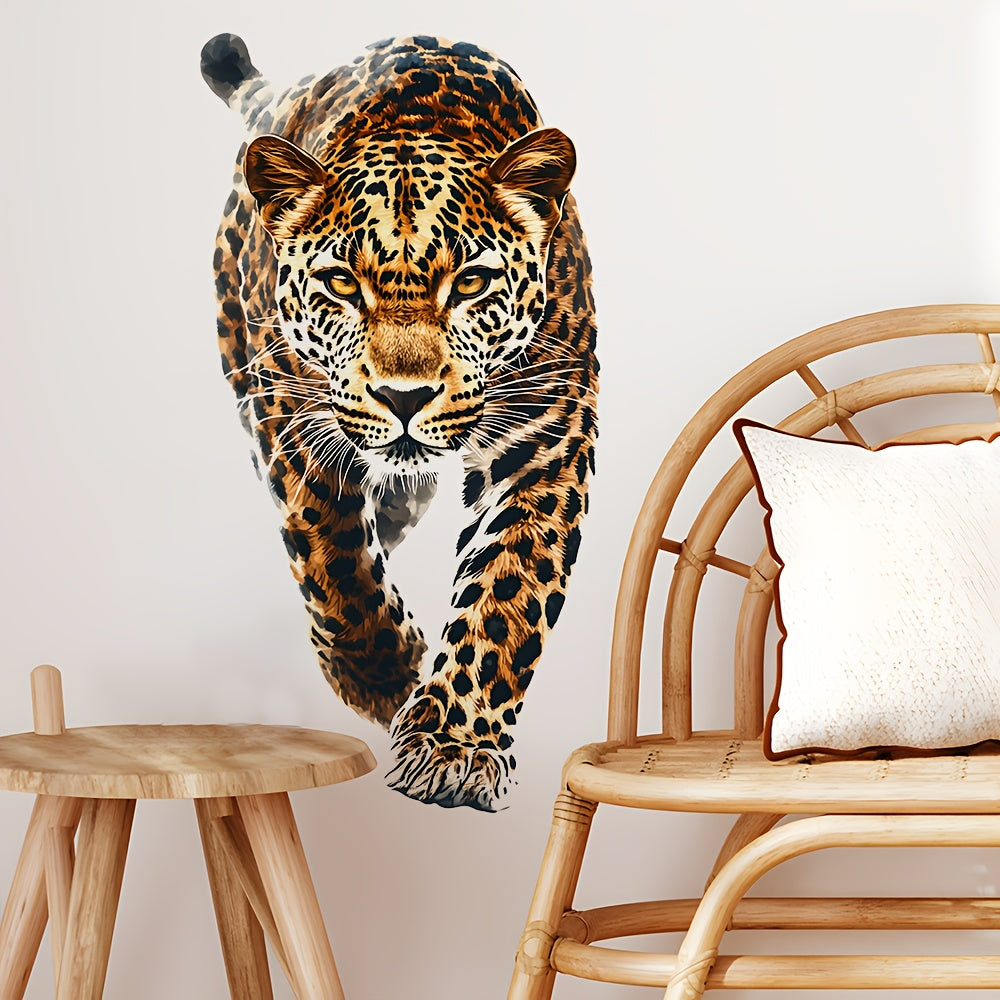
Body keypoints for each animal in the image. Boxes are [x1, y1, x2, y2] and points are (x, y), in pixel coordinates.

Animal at [201, 32, 598, 811]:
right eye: (340, 283)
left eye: (470, 282)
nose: (403, 397)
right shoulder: (289, 410)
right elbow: (331, 553)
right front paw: (382, 678)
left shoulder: (547, 434)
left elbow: (508, 587)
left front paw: (455, 748)